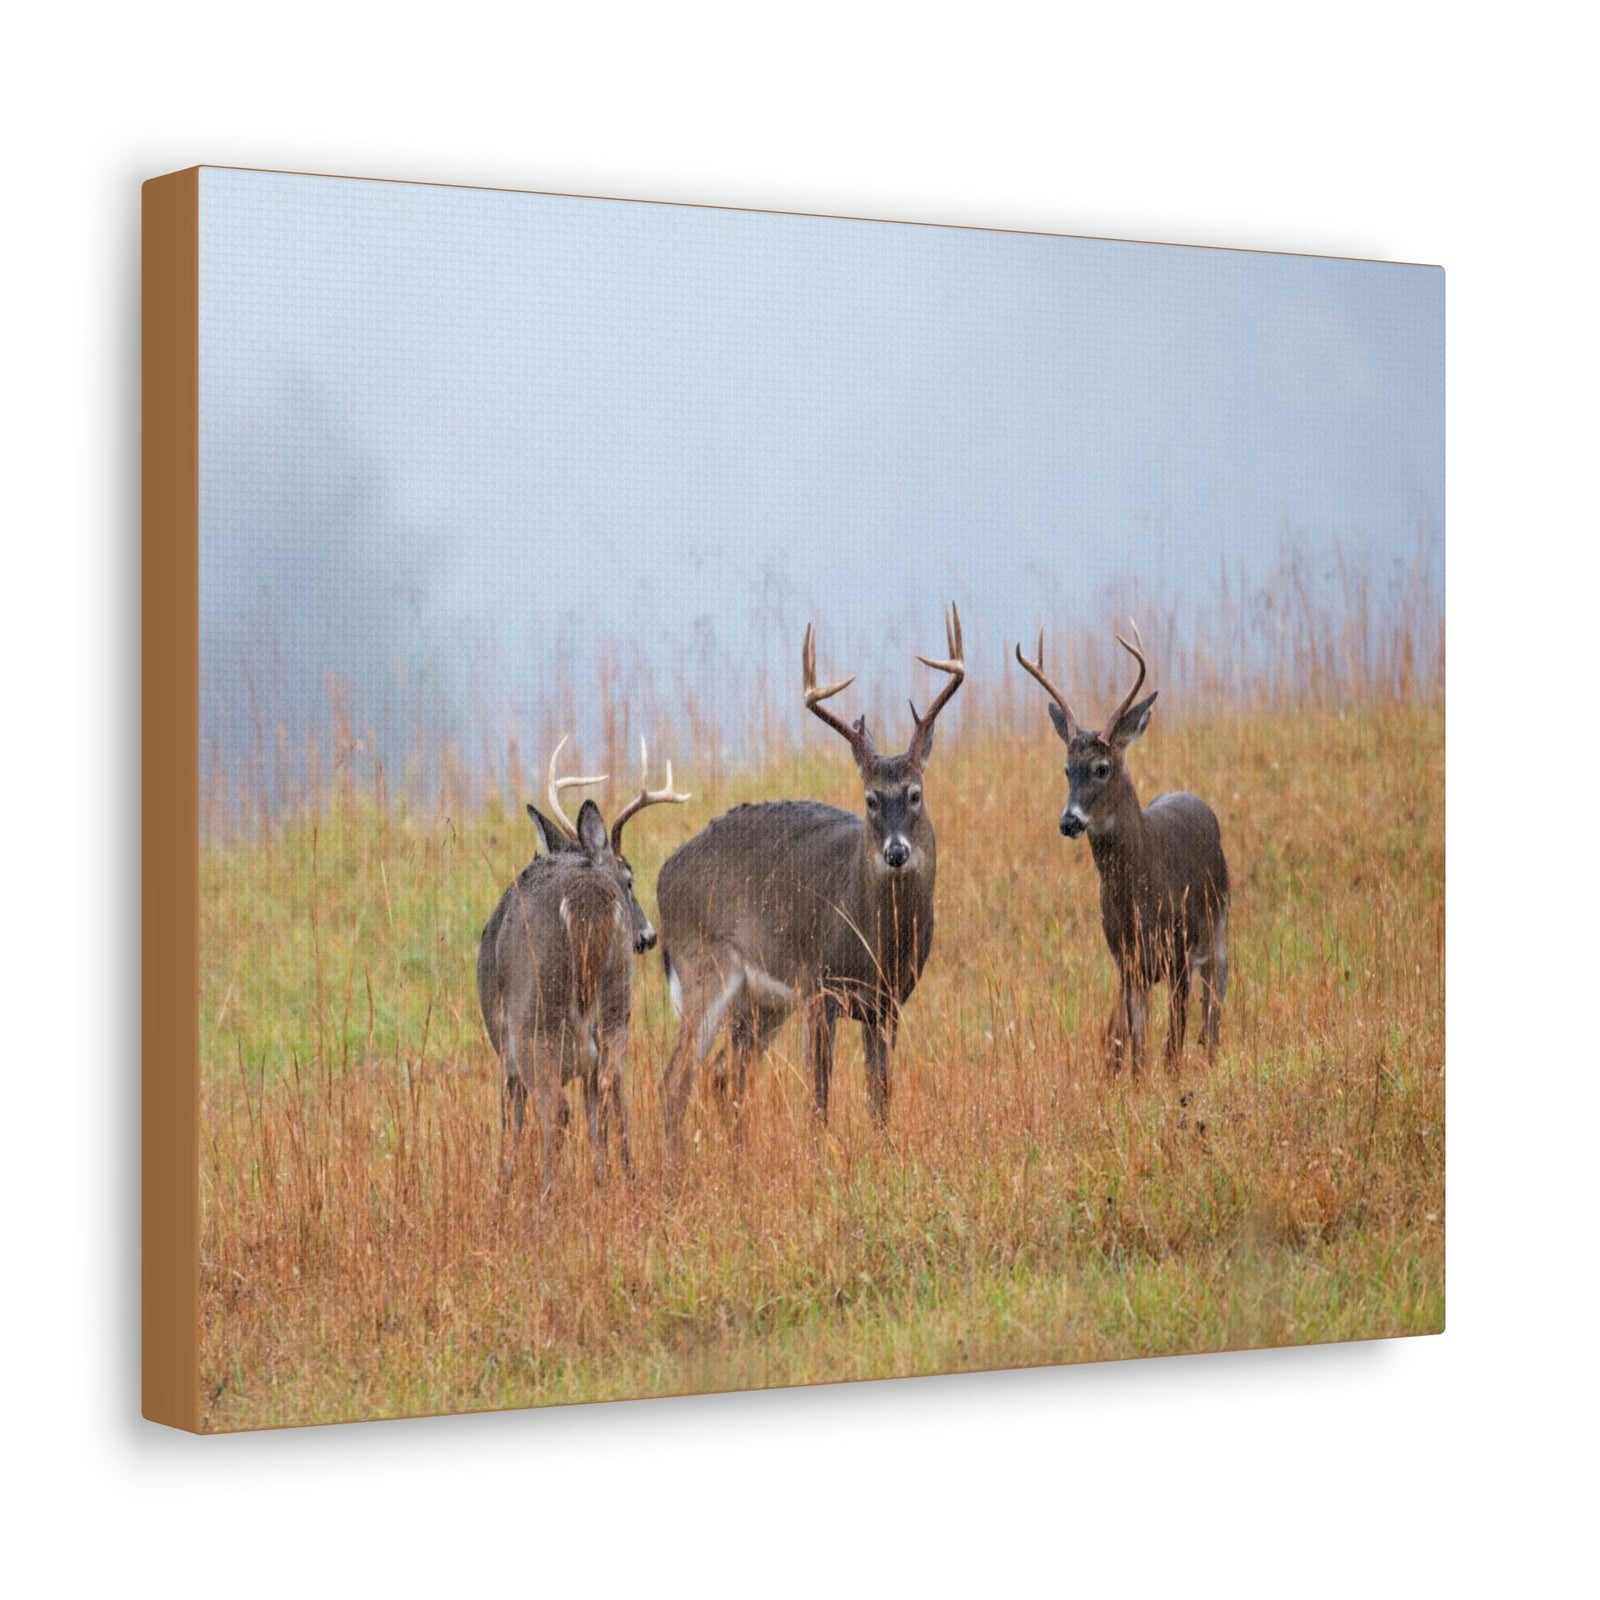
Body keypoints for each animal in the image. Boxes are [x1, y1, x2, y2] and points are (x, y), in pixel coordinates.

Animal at [478, 736, 689, 1192]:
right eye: (629, 879)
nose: (648, 936)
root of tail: (583, 897)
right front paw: (603, 1179)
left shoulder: (503, 1049)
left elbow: (510, 1121)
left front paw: (503, 1187)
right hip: (616, 1005)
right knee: (611, 1089)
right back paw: (620, 1182)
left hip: (535, 1016)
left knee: (557, 1110)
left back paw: (545, 1196)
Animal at [656, 604, 964, 1151]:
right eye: (869, 799)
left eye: (915, 793)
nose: (896, 852)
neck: (877, 939)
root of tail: (661, 877)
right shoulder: (820, 990)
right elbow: (818, 1097)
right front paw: (821, 1157)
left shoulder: (888, 1003)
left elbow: (879, 1094)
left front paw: (882, 1151)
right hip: (706, 969)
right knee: (676, 1080)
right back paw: (673, 1166)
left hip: (760, 1004)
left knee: (723, 1076)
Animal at [1014, 621, 1229, 1074]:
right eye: (1066, 769)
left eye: (1102, 767)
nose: (1069, 821)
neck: (1140, 900)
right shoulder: (1125, 960)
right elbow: (1138, 1044)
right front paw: (1137, 1081)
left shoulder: (1179, 951)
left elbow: (1173, 1041)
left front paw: (1174, 1079)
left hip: (1219, 928)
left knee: (1213, 1007)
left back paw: (1212, 1056)